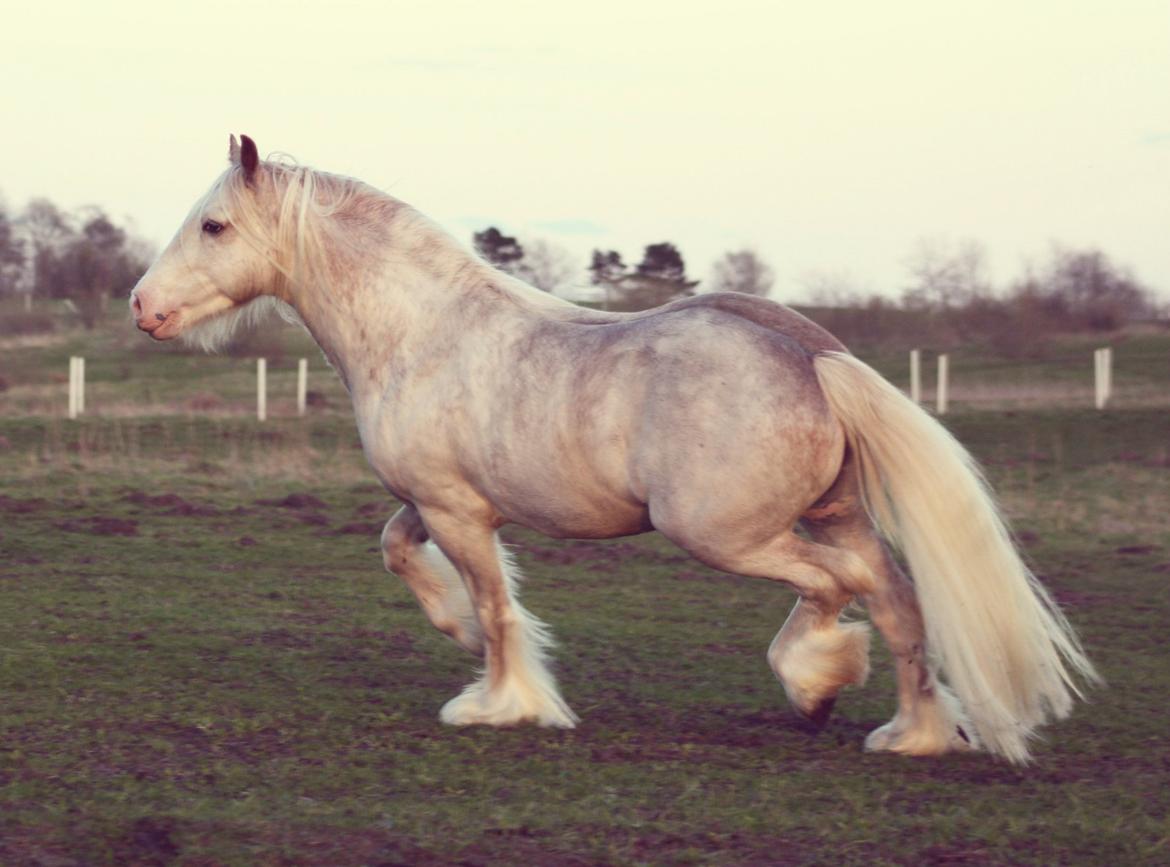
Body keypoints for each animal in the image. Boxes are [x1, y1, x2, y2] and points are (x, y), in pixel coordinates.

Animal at [130, 131, 1095, 762]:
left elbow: (497, 607)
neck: (420, 332)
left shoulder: (458, 510)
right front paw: (451, 626)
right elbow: (402, 553)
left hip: (727, 535)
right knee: (894, 599)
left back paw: (816, 686)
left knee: (837, 589)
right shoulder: (436, 501)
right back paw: (912, 733)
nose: (143, 306)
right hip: (837, 513)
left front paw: (500, 705)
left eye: (213, 226)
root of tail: (810, 354)